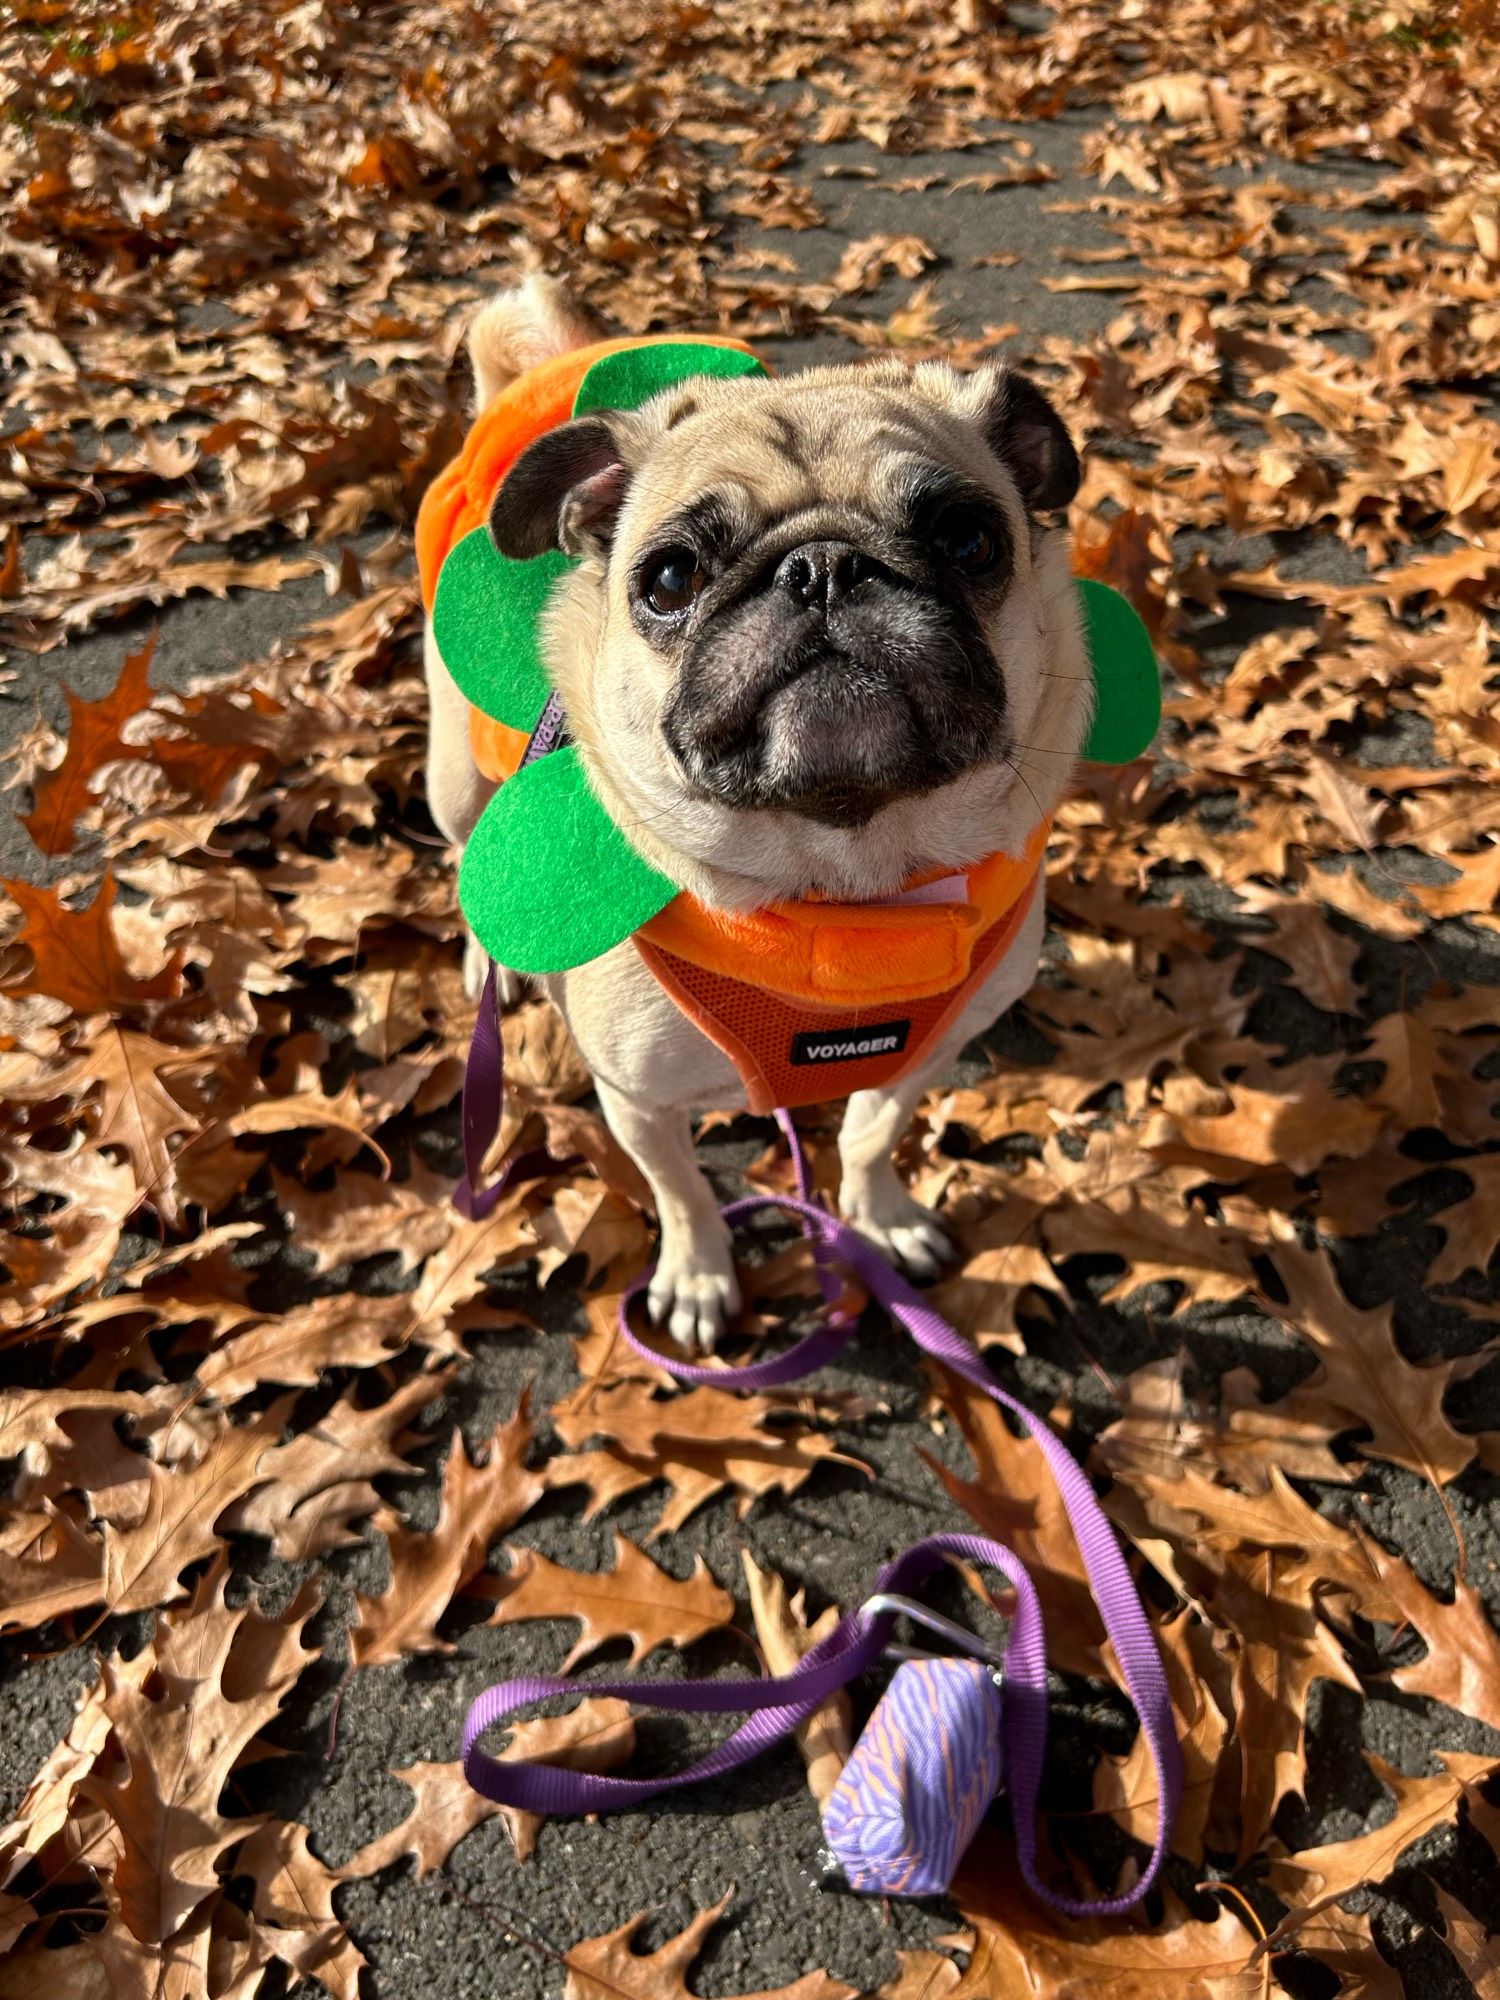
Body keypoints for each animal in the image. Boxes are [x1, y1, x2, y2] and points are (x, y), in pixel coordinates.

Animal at [424, 274, 1096, 1352]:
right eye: (669, 579)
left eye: (969, 539)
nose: (822, 567)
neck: (842, 889)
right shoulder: (638, 1102)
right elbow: (684, 1190)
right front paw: (700, 1272)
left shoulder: (921, 1056)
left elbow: (870, 1132)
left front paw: (879, 1216)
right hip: (454, 774)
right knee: (466, 853)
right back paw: (493, 961)